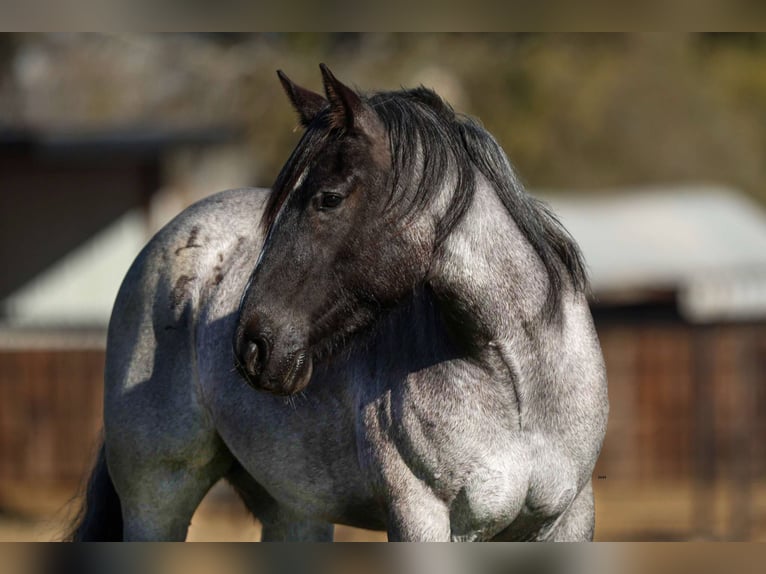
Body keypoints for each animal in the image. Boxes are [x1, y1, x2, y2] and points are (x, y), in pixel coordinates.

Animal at [69, 64, 608, 542]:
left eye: (328, 198)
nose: (253, 346)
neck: (519, 385)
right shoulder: (421, 520)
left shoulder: (569, 521)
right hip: (157, 501)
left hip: (292, 511)